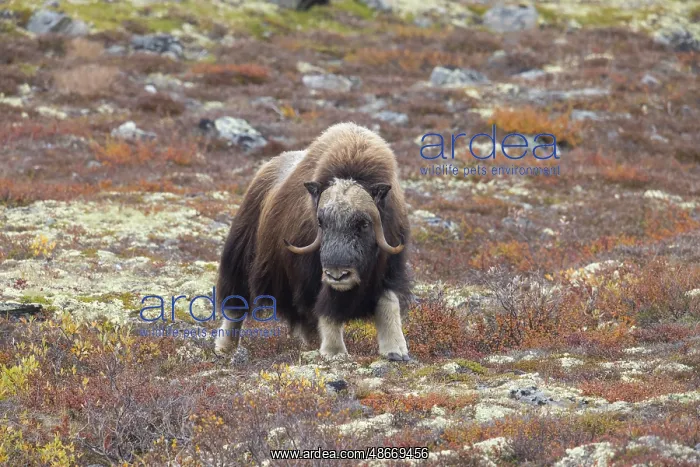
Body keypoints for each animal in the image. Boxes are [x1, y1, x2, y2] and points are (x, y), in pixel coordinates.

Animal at [214, 122, 412, 361]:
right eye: (321, 222)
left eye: (364, 223)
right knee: (235, 302)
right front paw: (335, 352)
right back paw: (225, 347)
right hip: (240, 256)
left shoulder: (389, 267)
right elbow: (327, 307)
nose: (338, 274)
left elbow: (389, 303)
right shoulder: (313, 275)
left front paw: (396, 351)